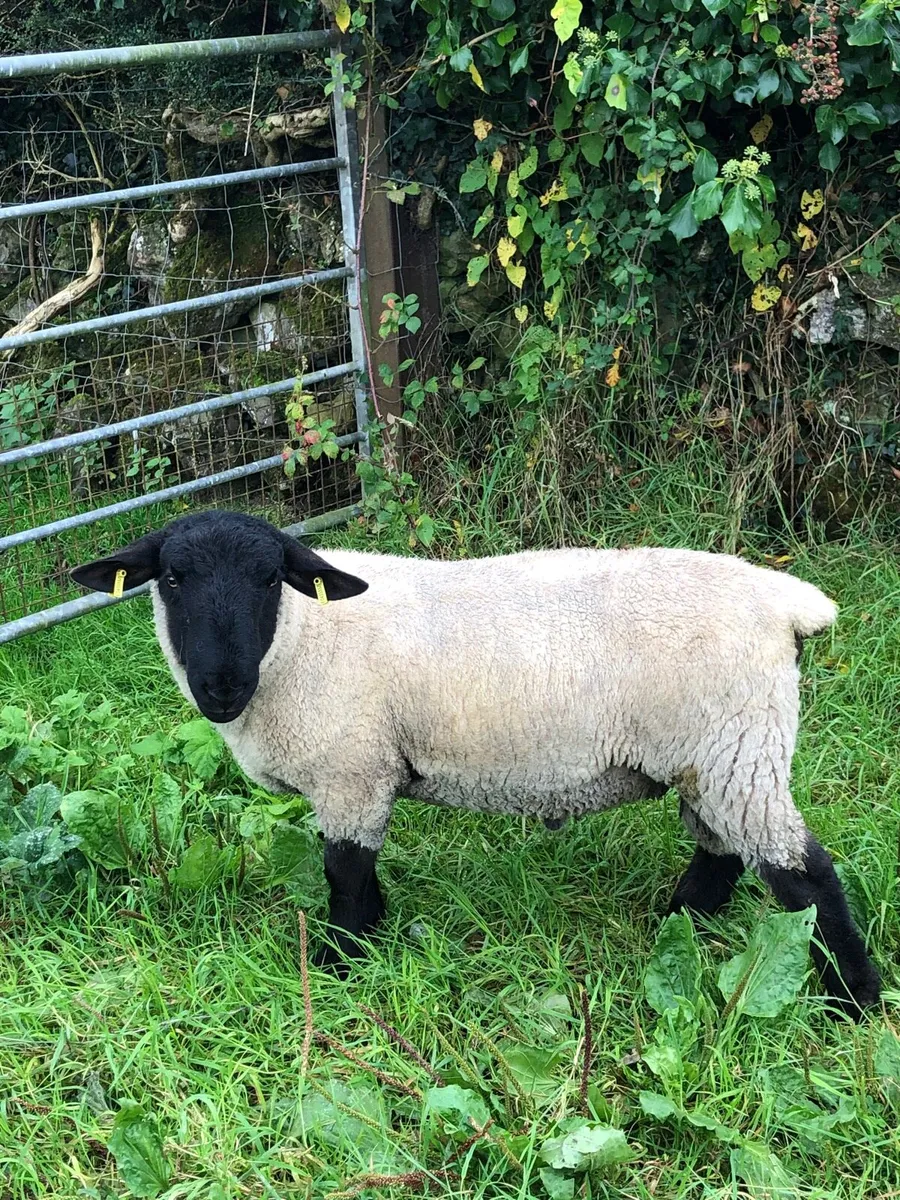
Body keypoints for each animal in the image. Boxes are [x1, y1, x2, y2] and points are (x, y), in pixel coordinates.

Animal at [71, 510, 881, 1017]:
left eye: (270, 579)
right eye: (172, 578)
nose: (221, 685)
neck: (298, 638)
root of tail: (785, 601)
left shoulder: (351, 770)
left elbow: (344, 870)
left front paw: (339, 963)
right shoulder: (366, 775)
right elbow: (360, 867)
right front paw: (375, 931)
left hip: (736, 746)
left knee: (804, 874)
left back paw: (855, 1001)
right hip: (713, 756)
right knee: (724, 853)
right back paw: (673, 923)